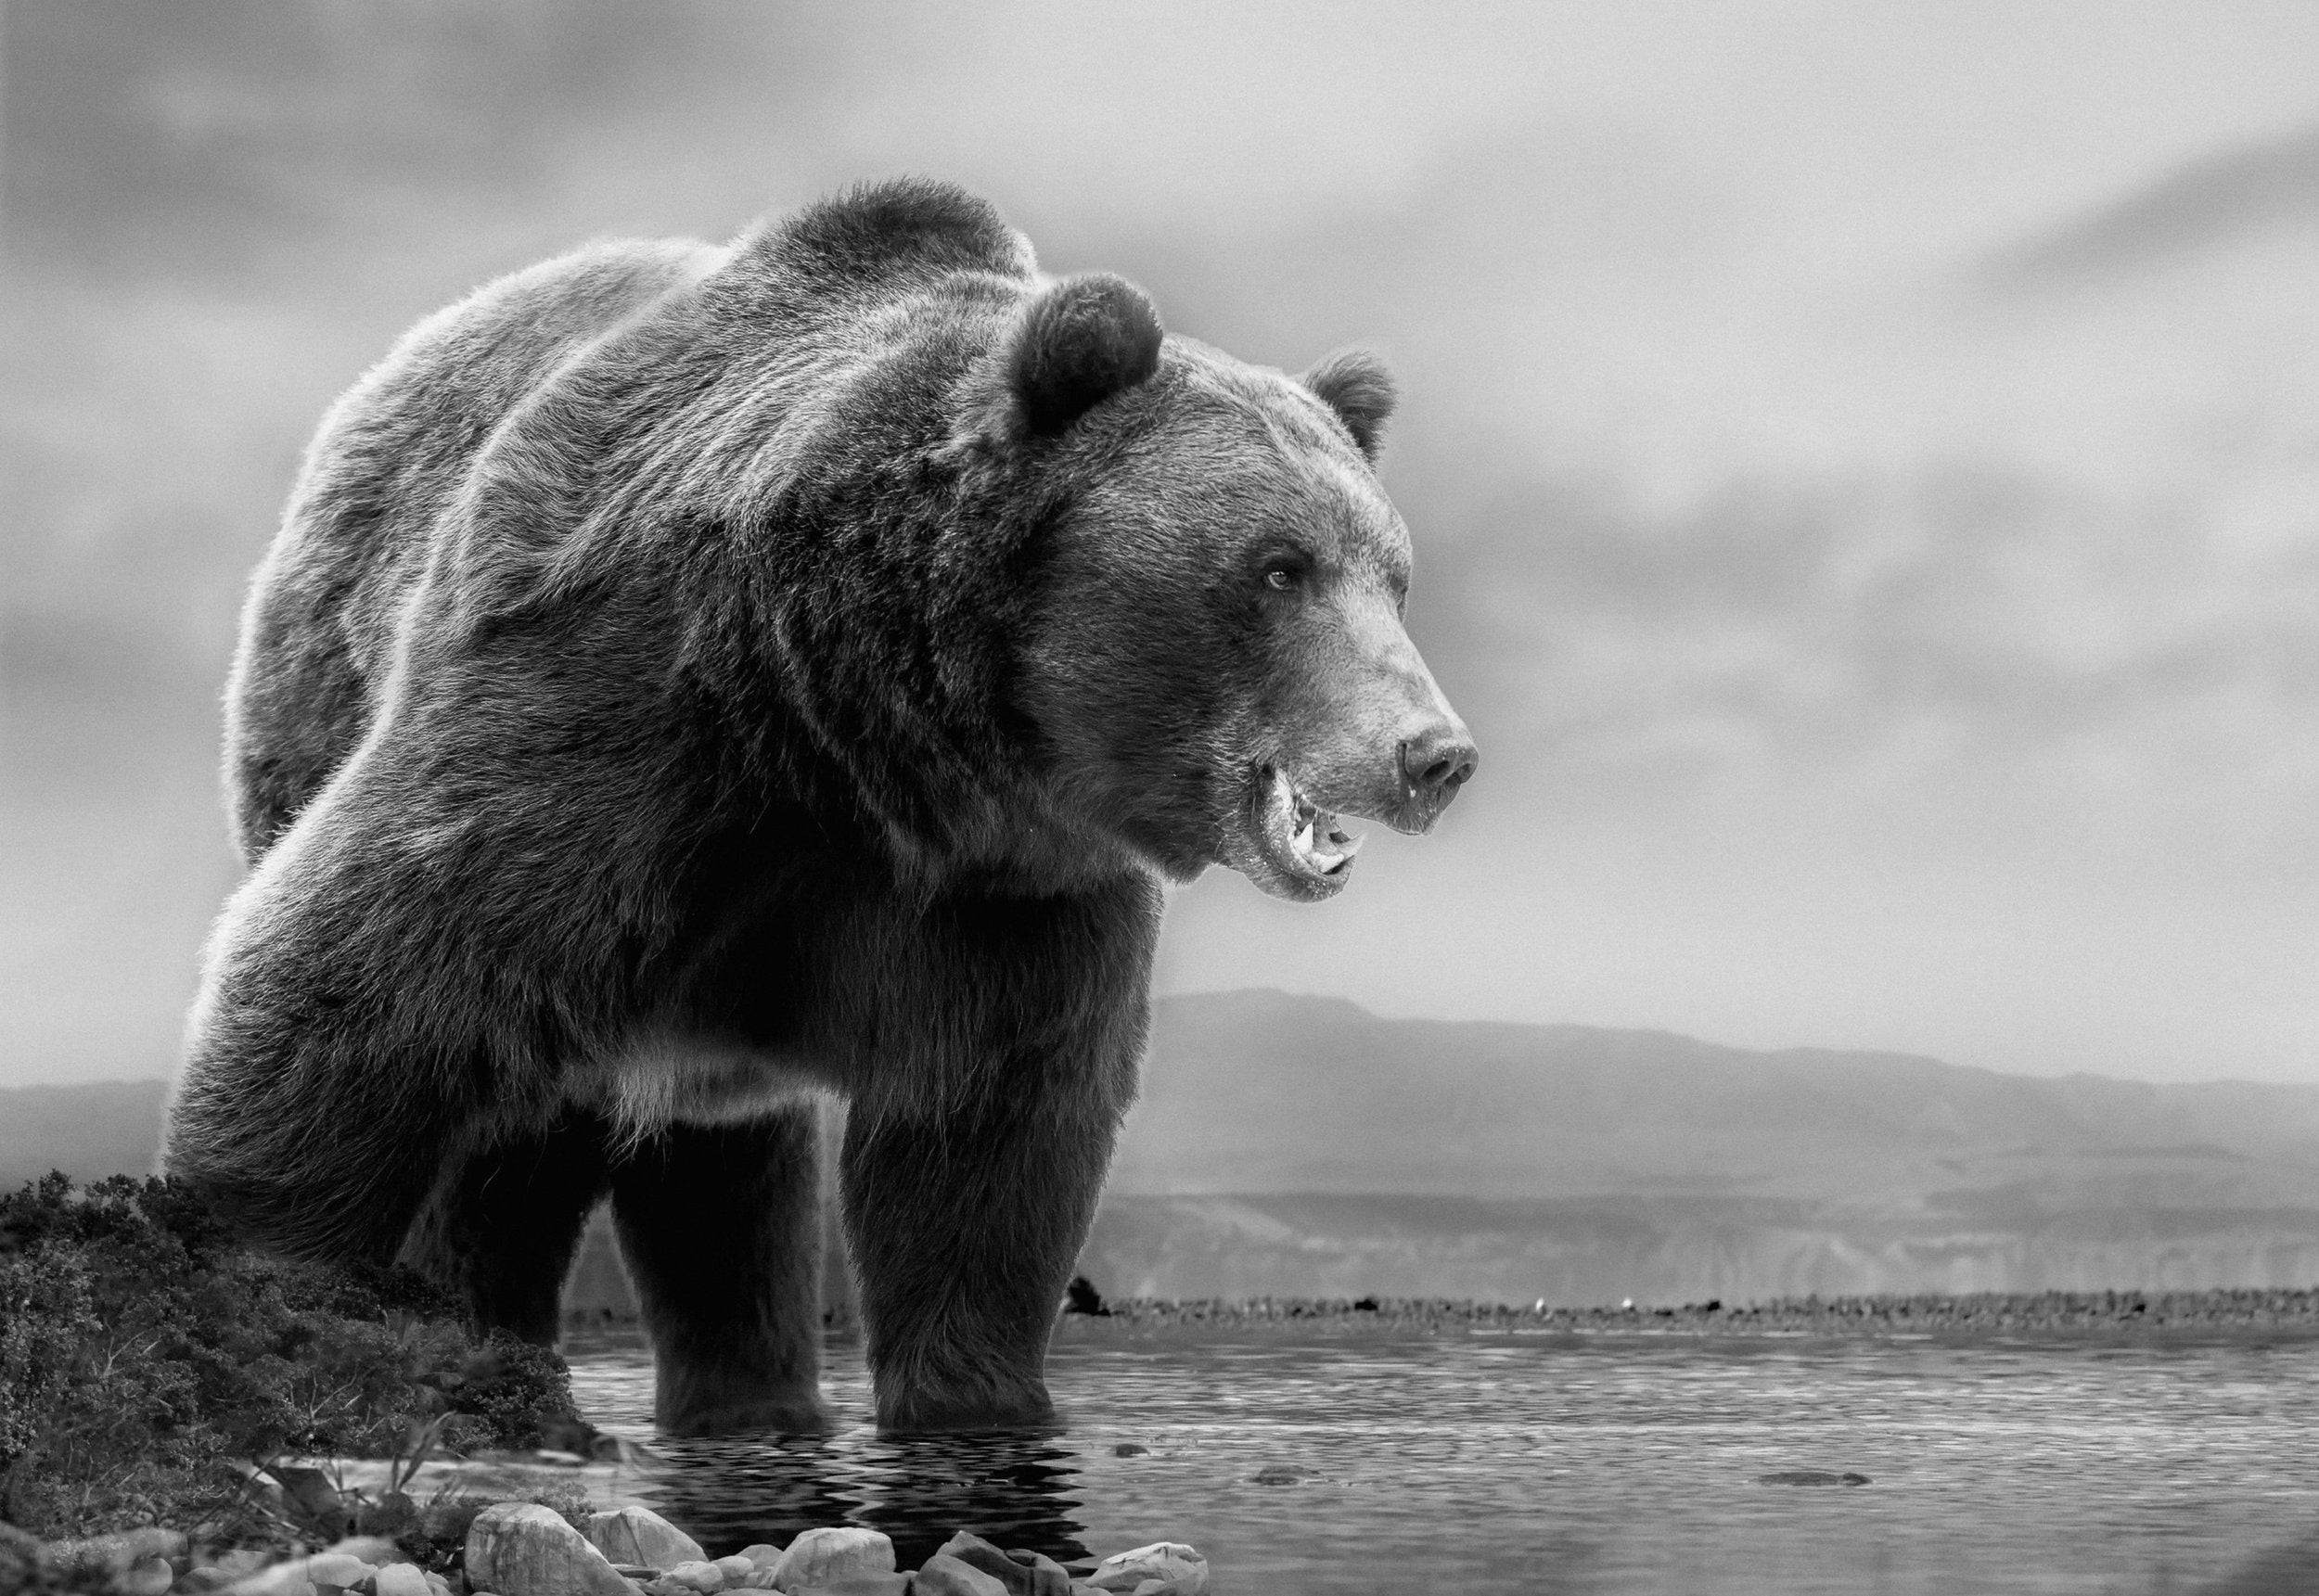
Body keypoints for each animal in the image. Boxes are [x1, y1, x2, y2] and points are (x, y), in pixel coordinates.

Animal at [166, 179, 1476, 1435]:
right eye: (1277, 567)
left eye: (1394, 576)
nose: (1433, 753)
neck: (866, 737)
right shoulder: (608, 717)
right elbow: (362, 981)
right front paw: (267, 1283)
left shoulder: (1003, 894)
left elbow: (984, 1150)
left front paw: (974, 1397)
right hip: (320, 709)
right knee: (513, 1152)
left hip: (706, 1053)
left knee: (722, 1183)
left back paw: (750, 1399)